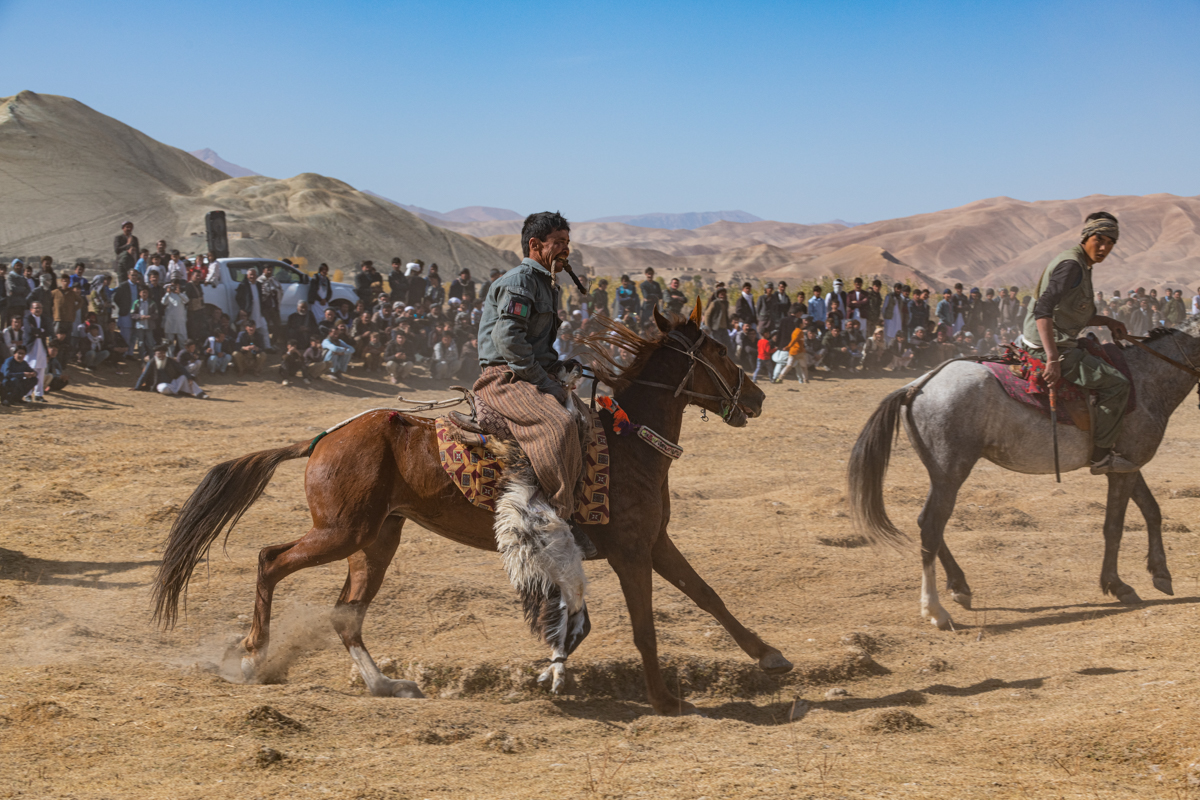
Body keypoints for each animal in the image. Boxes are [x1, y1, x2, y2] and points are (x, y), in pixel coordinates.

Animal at [152, 304, 787, 714]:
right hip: (342, 531)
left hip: (377, 539)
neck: (628, 443)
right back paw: (252, 656)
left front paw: (769, 655)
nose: (757, 397)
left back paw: (386, 686)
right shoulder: (632, 552)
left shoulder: (654, 543)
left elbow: (708, 594)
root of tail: (323, 438)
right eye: (720, 351)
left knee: (346, 613)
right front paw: (662, 697)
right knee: (270, 559)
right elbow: (645, 628)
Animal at [844, 321, 1200, 633]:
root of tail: (916, 387)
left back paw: (959, 587)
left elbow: (1152, 511)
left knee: (928, 523)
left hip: (942, 474)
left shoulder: (1125, 464)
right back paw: (936, 611)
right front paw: (1117, 585)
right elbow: (1113, 527)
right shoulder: (1121, 469)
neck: (1146, 377)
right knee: (932, 525)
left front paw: (1160, 573)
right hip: (951, 471)